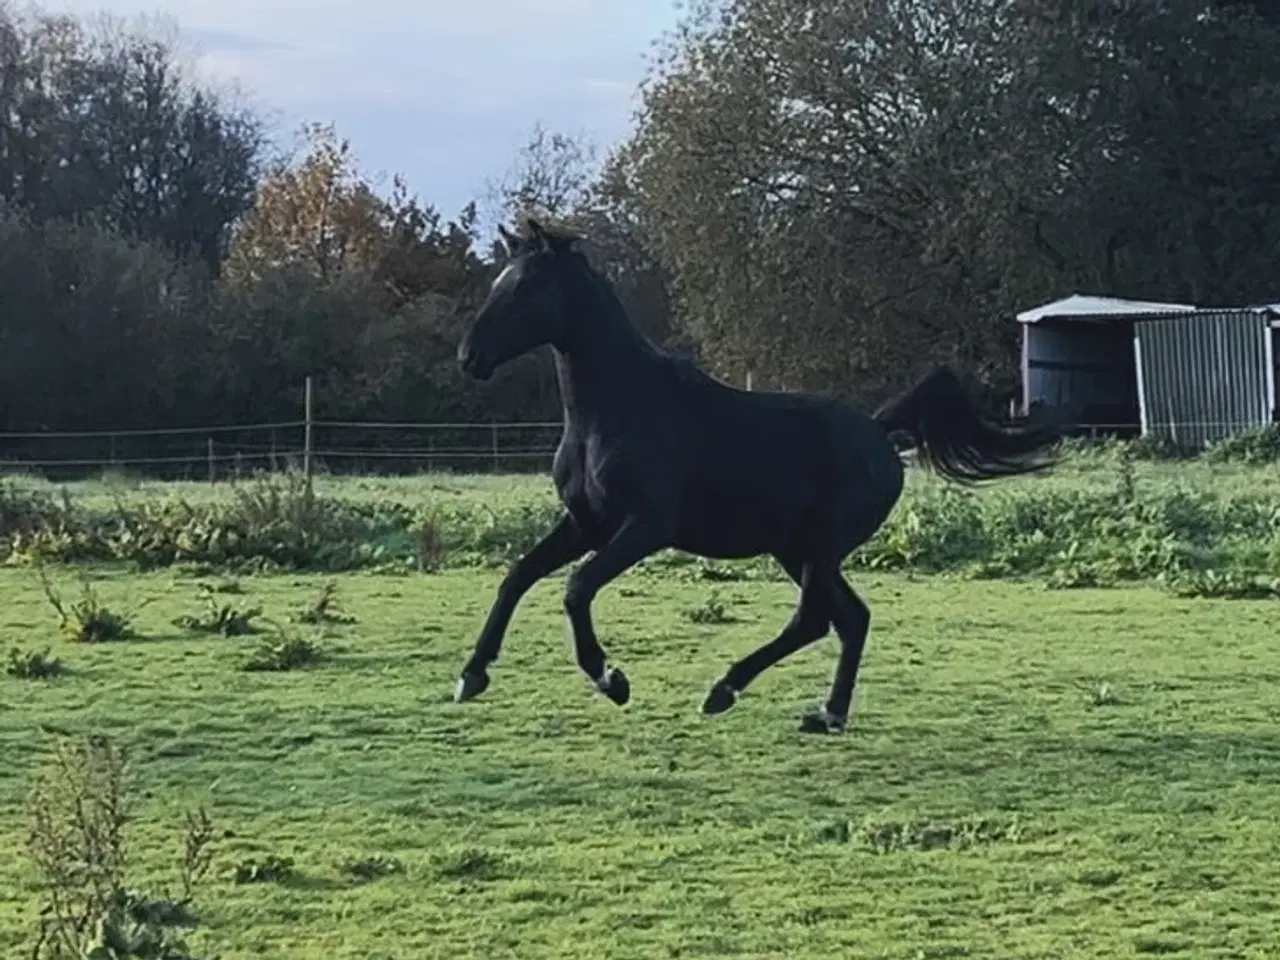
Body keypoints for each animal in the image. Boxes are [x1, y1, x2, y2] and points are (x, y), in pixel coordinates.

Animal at [455, 213, 1054, 732]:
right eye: (500, 282)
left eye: (526, 287)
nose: (468, 357)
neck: (616, 407)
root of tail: (880, 433)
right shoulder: (585, 522)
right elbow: (518, 576)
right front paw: (472, 676)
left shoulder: (645, 527)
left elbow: (577, 587)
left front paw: (611, 680)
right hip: (797, 549)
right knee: (850, 618)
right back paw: (826, 714)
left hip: (820, 548)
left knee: (815, 620)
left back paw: (726, 689)